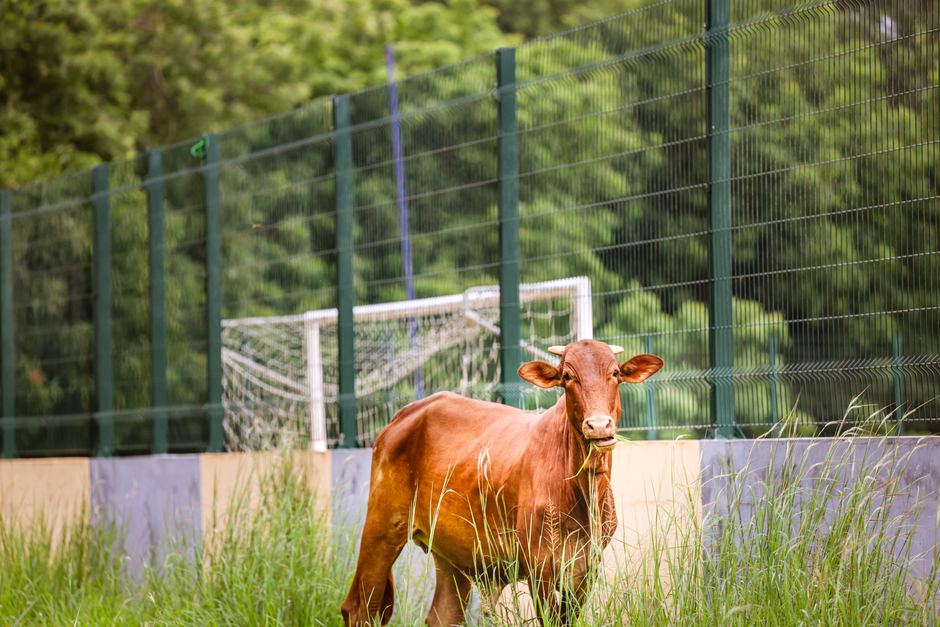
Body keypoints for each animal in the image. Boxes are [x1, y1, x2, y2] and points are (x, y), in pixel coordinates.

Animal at [341, 339, 664, 626]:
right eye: (568, 377)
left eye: (615, 373)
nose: (598, 425)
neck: (584, 494)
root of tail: (404, 415)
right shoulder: (539, 567)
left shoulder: (586, 568)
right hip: (383, 526)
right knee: (359, 608)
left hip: (452, 554)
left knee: (444, 616)